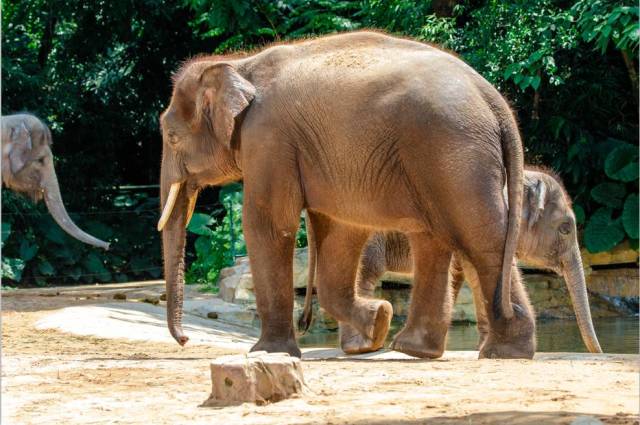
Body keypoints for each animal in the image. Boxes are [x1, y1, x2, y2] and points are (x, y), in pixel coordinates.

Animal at [160, 30, 536, 358]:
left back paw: (504, 352)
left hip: (453, 152)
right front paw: (379, 320)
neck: (239, 64)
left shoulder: (268, 139)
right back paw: (416, 349)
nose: (185, 339)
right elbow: (339, 230)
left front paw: (267, 352)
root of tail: (493, 99)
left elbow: (269, 225)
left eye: (171, 137)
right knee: (438, 239)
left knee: (479, 237)